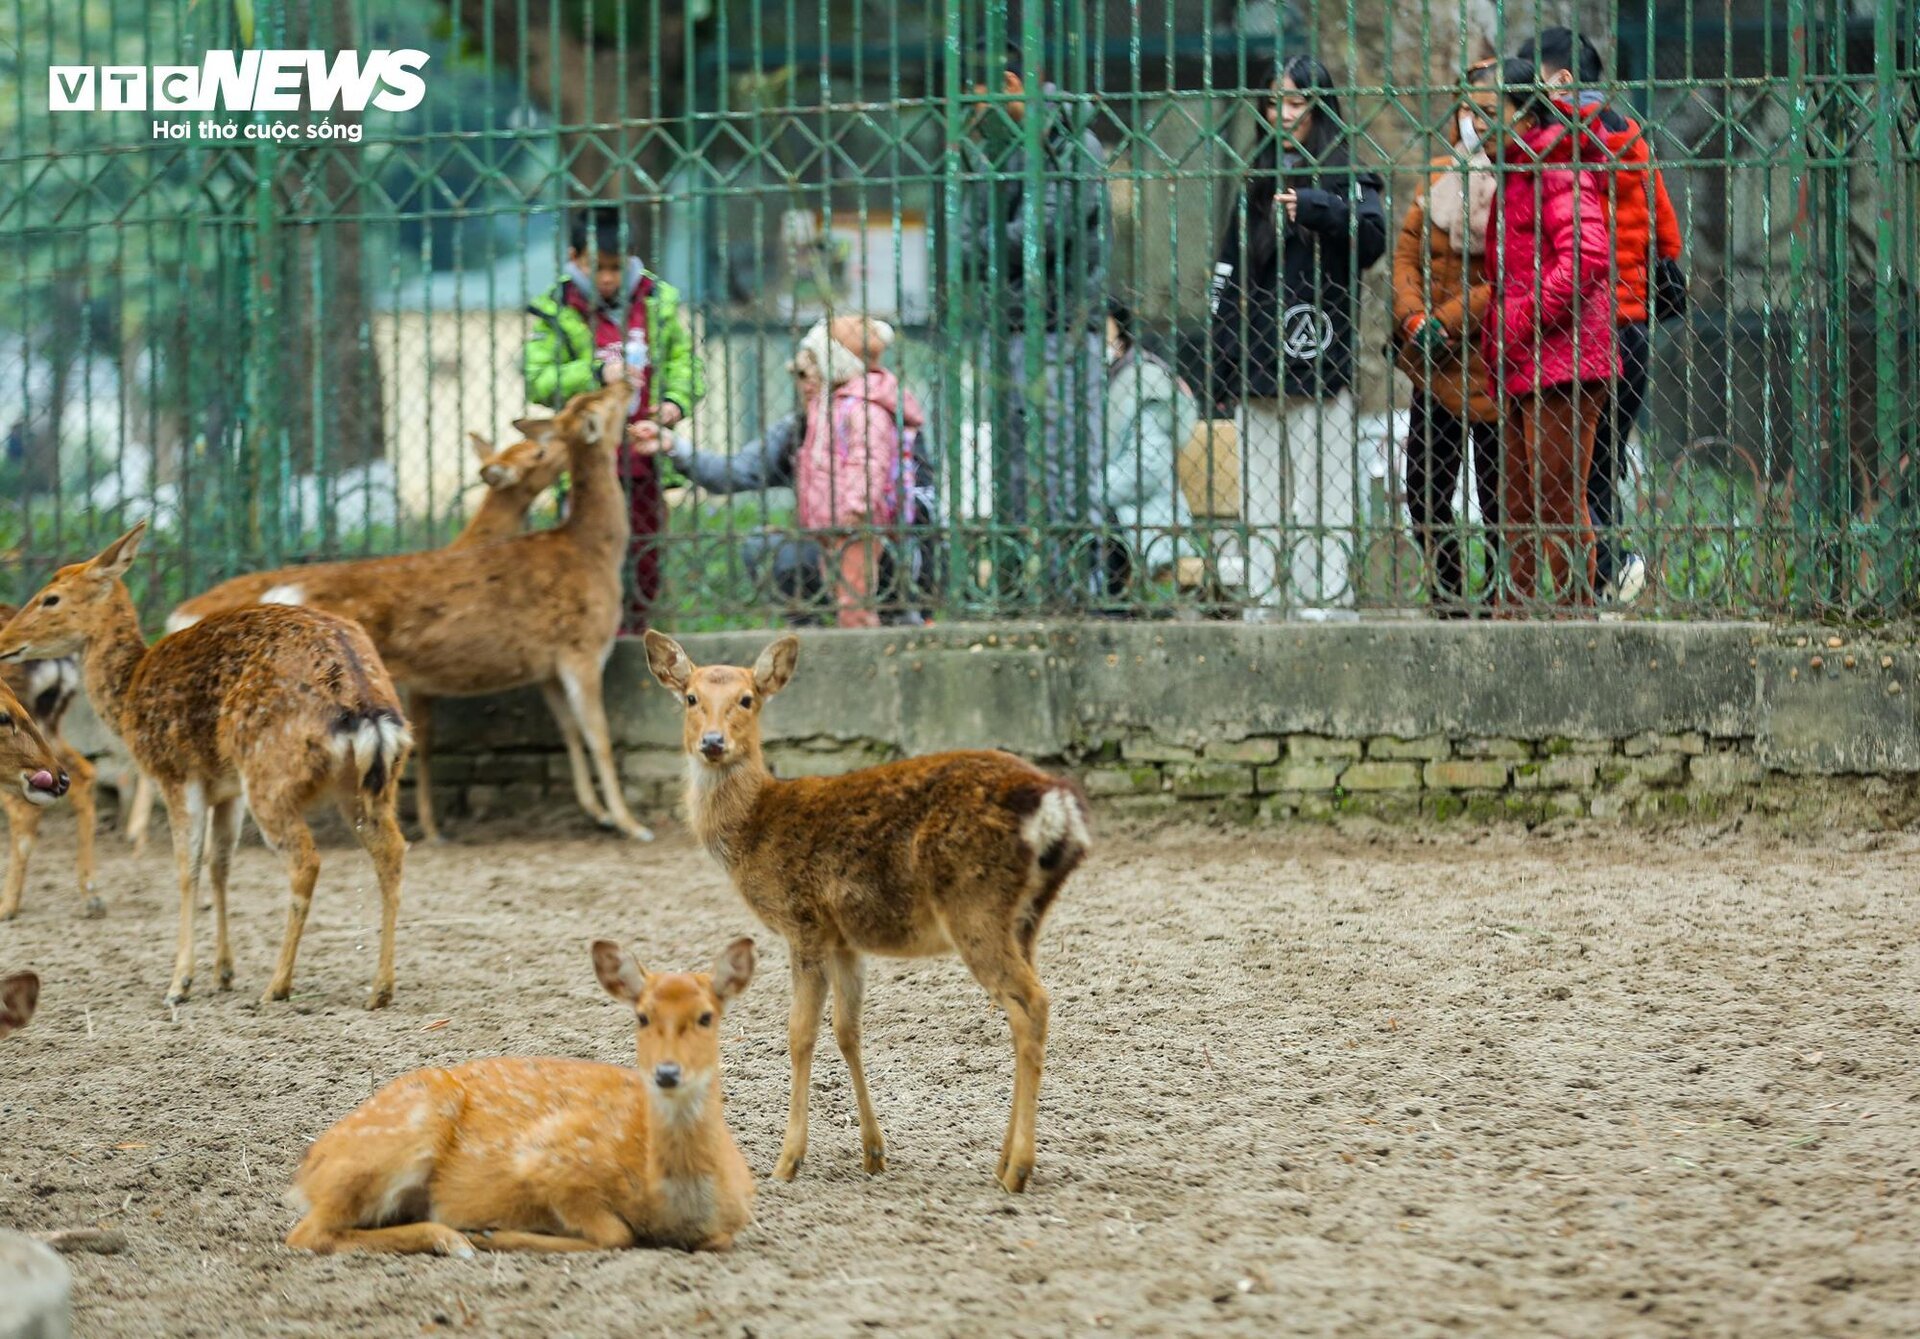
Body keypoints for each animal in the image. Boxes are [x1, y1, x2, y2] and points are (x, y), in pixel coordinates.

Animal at [145, 386, 648, 841]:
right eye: (603, 400)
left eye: (585, 398)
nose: (627, 382)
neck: (592, 553)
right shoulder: (582, 648)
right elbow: (600, 738)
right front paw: (629, 823)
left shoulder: (546, 665)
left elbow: (570, 733)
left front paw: (598, 813)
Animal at [284, 933, 756, 1260]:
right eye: (642, 1016)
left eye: (706, 1017)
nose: (668, 1073)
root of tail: (307, 1170)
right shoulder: (549, 1156)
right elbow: (616, 1234)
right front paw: (495, 1234)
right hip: (395, 1137)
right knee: (306, 1234)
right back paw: (453, 1239)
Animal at [645, 630, 1098, 1198]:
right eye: (690, 698)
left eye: (747, 699)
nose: (711, 742)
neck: (754, 829)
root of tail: (1056, 806)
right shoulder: (845, 939)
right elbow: (848, 1031)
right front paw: (874, 1152)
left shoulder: (804, 921)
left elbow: (799, 1033)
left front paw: (786, 1161)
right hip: (1026, 916)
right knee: (1024, 1006)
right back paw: (1002, 1161)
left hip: (974, 904)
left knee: (1031, 1003)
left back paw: (1017, 1169)